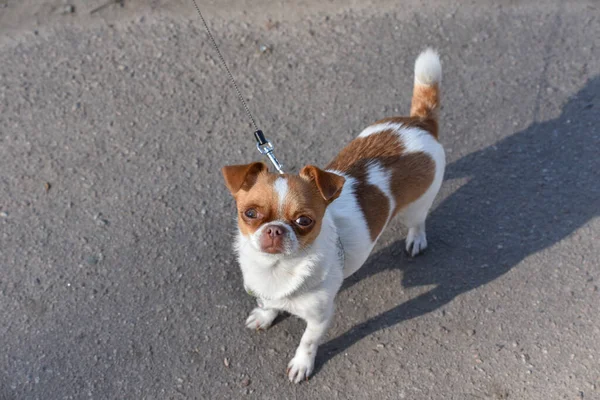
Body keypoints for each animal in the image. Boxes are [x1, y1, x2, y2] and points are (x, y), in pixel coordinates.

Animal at [223, 48, 442, 382]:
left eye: (304, 221)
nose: (275, 229)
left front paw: (302, 364)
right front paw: (266, 314)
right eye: (250, 213)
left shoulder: (319, 317)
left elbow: (307, 341)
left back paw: (416, 239)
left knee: (418, 221)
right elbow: (271, 304)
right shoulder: (271, 292)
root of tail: (420, 122)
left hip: (417, 205)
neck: (278, 269)